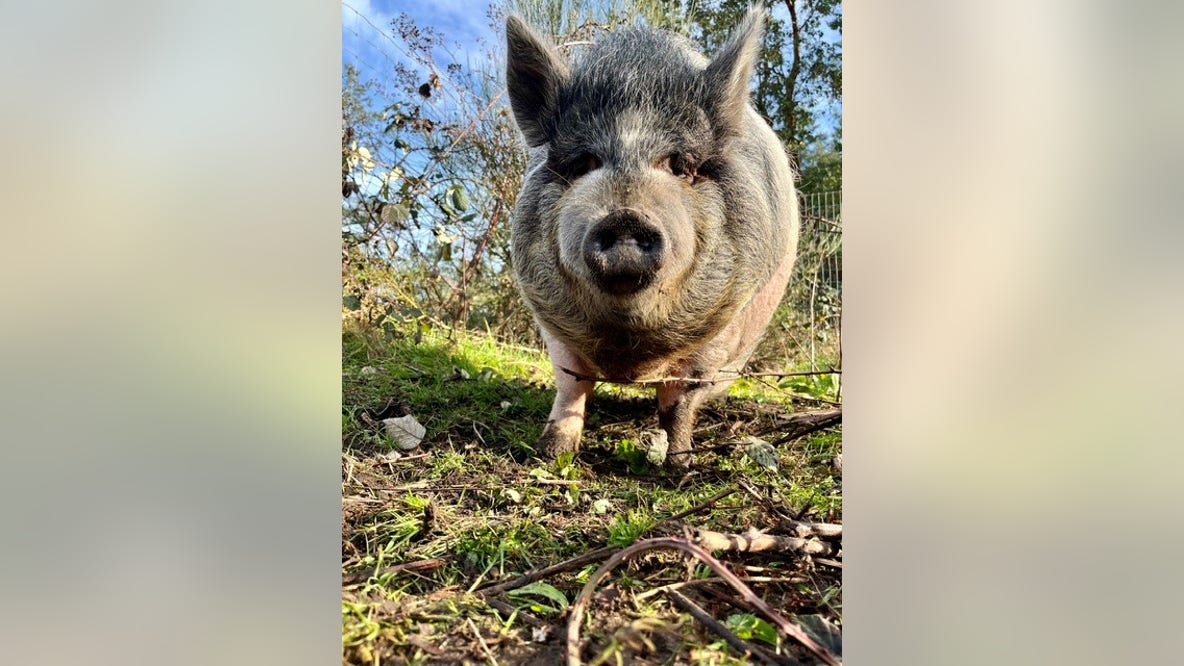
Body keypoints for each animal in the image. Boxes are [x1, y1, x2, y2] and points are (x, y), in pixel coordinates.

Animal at [505, 5, 798, 466]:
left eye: (679, 165)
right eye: (583, 162)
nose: (625, 217)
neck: (629, 354)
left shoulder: (721, 331)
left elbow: (678, 404)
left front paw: (678, 465)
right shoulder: (549, 319)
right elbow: (571, 386)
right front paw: (549, 455)